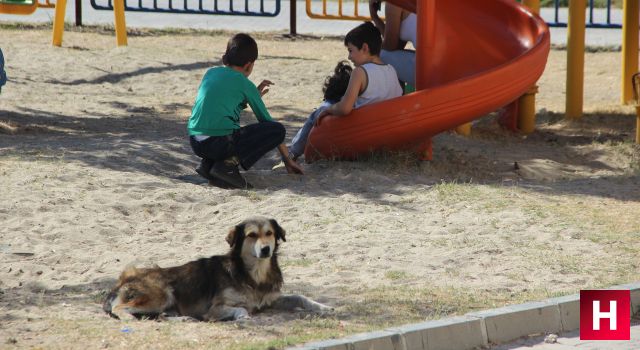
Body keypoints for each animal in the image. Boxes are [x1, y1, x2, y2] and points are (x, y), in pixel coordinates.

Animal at [101, 217, 330, 322]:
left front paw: (323, 307)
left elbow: (301, 296)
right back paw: (130, 318)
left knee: (161, 315)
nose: (266, 249)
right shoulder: (215, 308)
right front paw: (243, 316)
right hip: (161, 294)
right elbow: (242, 309)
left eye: (269, 233)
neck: (253, 274)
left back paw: (182, 318)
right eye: (251, 235)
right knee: (120, 308)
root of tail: (122, 282)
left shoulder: (270, 298)